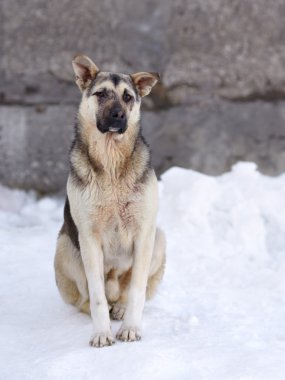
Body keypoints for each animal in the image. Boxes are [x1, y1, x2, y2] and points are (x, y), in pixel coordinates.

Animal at [53, 55, 165, 348]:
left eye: (128, 97)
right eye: (101, 94)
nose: (118, 116)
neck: (111, 160)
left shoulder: (144, 234)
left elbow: (136, 289)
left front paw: (131, 328)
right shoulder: (89, 239)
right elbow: (97, 296)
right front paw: (102, 333)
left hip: (159, 238)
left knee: (127, 292)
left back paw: (122, 308)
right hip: (64, 246)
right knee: (87, 299)